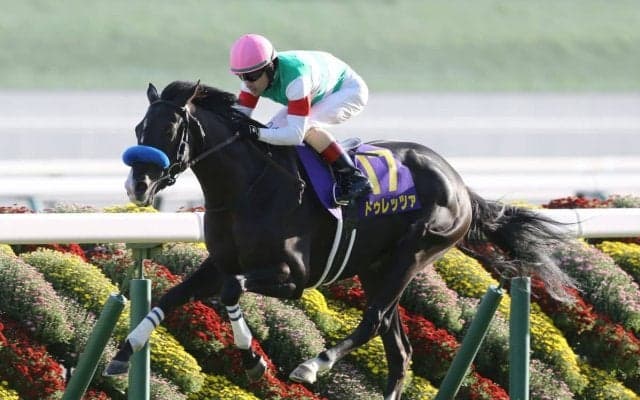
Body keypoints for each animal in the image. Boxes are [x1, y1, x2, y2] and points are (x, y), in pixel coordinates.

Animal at [105, 80, 575, 399]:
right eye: (140, 127)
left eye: (170, 130)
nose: (138, 185)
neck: (248, 189)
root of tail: (460, 184)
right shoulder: (219, 263)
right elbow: (171, 297)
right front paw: (124, 353)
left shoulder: (292, 277)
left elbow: (232, 291)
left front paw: (254, 361)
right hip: (377, 267)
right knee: (398, 350)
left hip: (414, 252)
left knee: (373, 321)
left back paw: (314, 365)